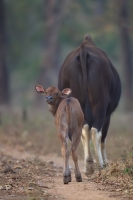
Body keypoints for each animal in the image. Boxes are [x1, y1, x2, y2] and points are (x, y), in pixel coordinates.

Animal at [58, 34, 121, 175]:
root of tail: (83, 51)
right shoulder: (108, 115)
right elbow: (103, 138)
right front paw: (105, 163)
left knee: (83, 129)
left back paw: (88, 165)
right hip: (100, 105)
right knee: (95, 131)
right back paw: (99, 165)